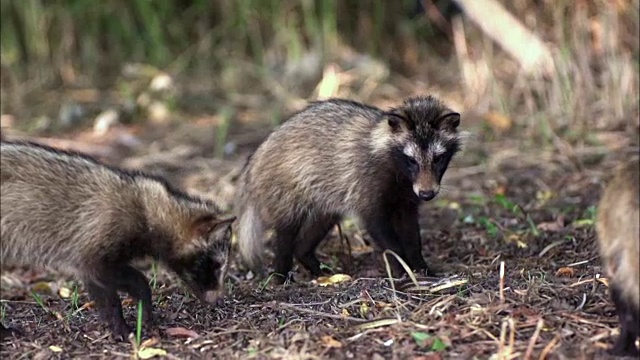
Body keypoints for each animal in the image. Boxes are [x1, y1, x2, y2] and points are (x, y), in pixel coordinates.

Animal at [1, 140, 236, 340]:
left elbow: (98, 288)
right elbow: (125, 283)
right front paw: (125, 322)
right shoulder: (97, 243)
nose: (218, 300)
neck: (148, 209)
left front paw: (117, 320)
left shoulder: (87, 253)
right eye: (216, 265)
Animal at [234, 94, 460, 280]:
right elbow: (380, 228)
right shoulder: (367, 182)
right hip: (286, 189)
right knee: (286, 232)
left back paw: (311, 262)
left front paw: (421, 266)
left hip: (324, 198)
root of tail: (255, 159)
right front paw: (402, 267)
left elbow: (411, 234)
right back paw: (280, 273)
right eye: (411, 160)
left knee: (314, 229)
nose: (427, 193)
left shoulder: (406, 199)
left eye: (438, 158)